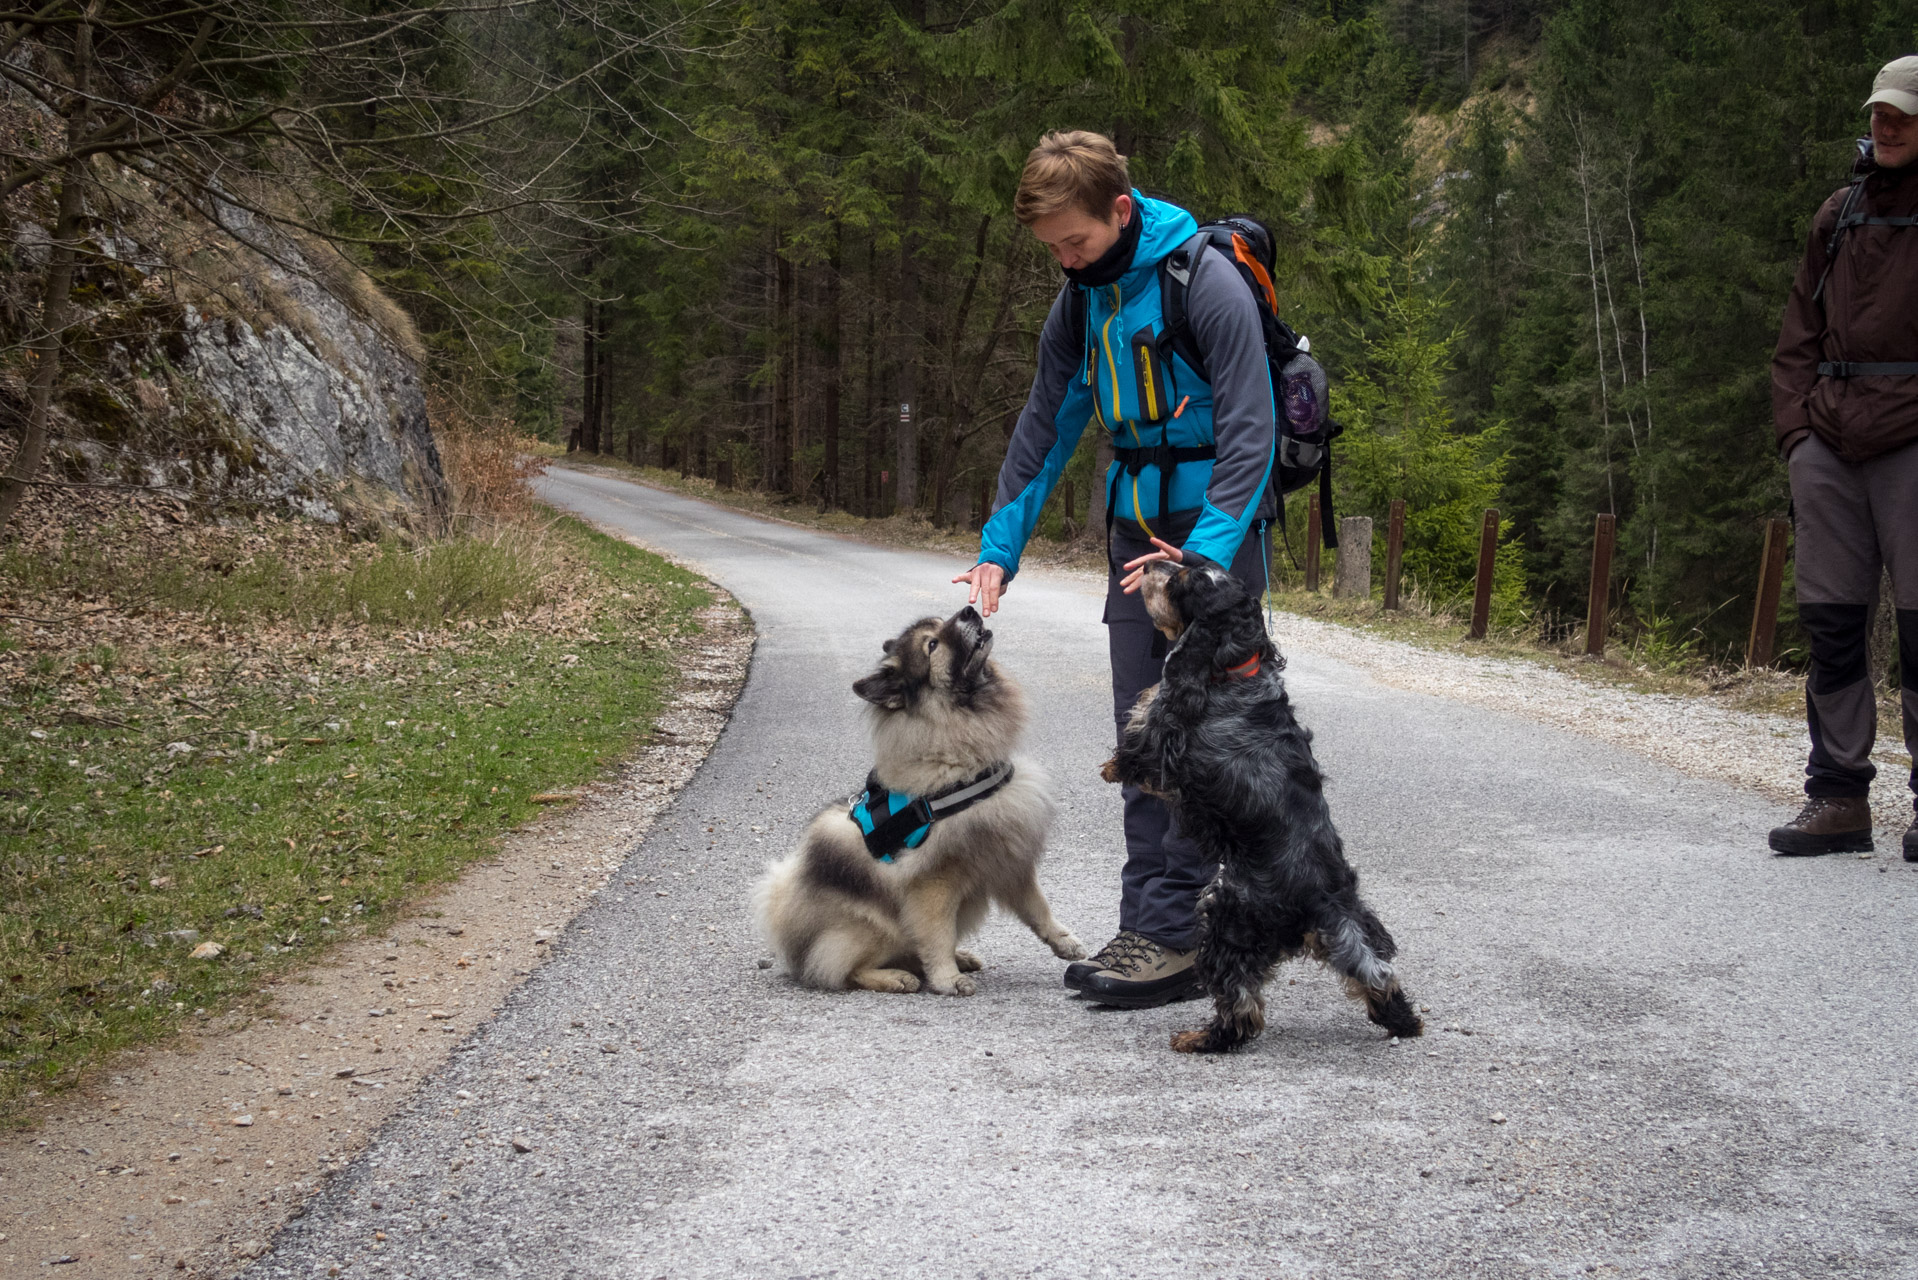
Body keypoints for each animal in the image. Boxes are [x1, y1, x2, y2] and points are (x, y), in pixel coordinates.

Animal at [748, 606, 1081, 997]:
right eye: (932, 645)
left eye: (940, 623)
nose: (970, 609)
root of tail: (790, 933)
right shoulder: (934, 883)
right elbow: (936, 935)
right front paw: (947, 979)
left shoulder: (1008, 858)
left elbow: (1038, 908)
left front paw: (1063, 941)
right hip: (875, 930)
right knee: (844, 970)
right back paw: (896, 977)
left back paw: (958, 957)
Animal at [1097, 560, 1426, 1051]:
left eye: (1183, 580)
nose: (1154, 562)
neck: (1237, 665)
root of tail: (1321, 898)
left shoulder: (1160, 742)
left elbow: (1138, 742)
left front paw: (1110, 767)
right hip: (1359, 924)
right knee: (1378, 974)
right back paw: (1403, 1021)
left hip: (1225, 914)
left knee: (1241, 1007)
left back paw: (1200, 1039)